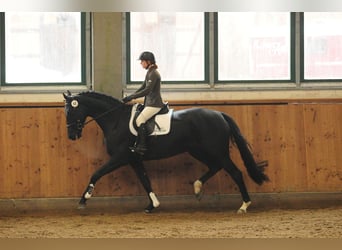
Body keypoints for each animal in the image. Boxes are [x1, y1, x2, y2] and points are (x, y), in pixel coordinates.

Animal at [62, 91, 268, 214]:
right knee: (215, 167)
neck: (115, 120)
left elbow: (96, 173)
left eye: (70, 112)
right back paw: (197, 187)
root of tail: (219, 114)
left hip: (217, 152)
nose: (72, 135)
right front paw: (152, 205)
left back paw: (244, 205)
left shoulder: (121, 157)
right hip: (199, 150)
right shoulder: (134, 159)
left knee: (236, 173)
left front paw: (83, 200)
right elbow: (145, 180)